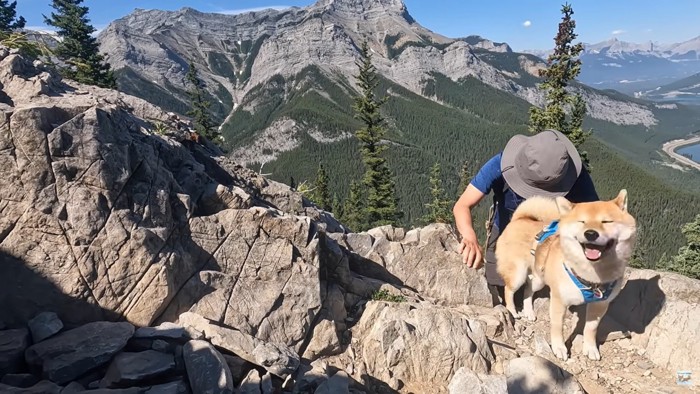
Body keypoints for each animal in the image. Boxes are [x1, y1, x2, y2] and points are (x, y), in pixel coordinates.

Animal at [494, 191, 636, 360]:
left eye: (606, 221)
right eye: (582, 221)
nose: (590, 233)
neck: (592, 276)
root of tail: (519, 219)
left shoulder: (600, 305)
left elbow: (591, 329)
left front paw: (591, 349)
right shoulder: (559, 300)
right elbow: (557, 327)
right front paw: (559, 348)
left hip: (538, 278)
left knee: (528, 289)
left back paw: (529, 311)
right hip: (518, 274)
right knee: (509, 290)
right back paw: (513, 311)